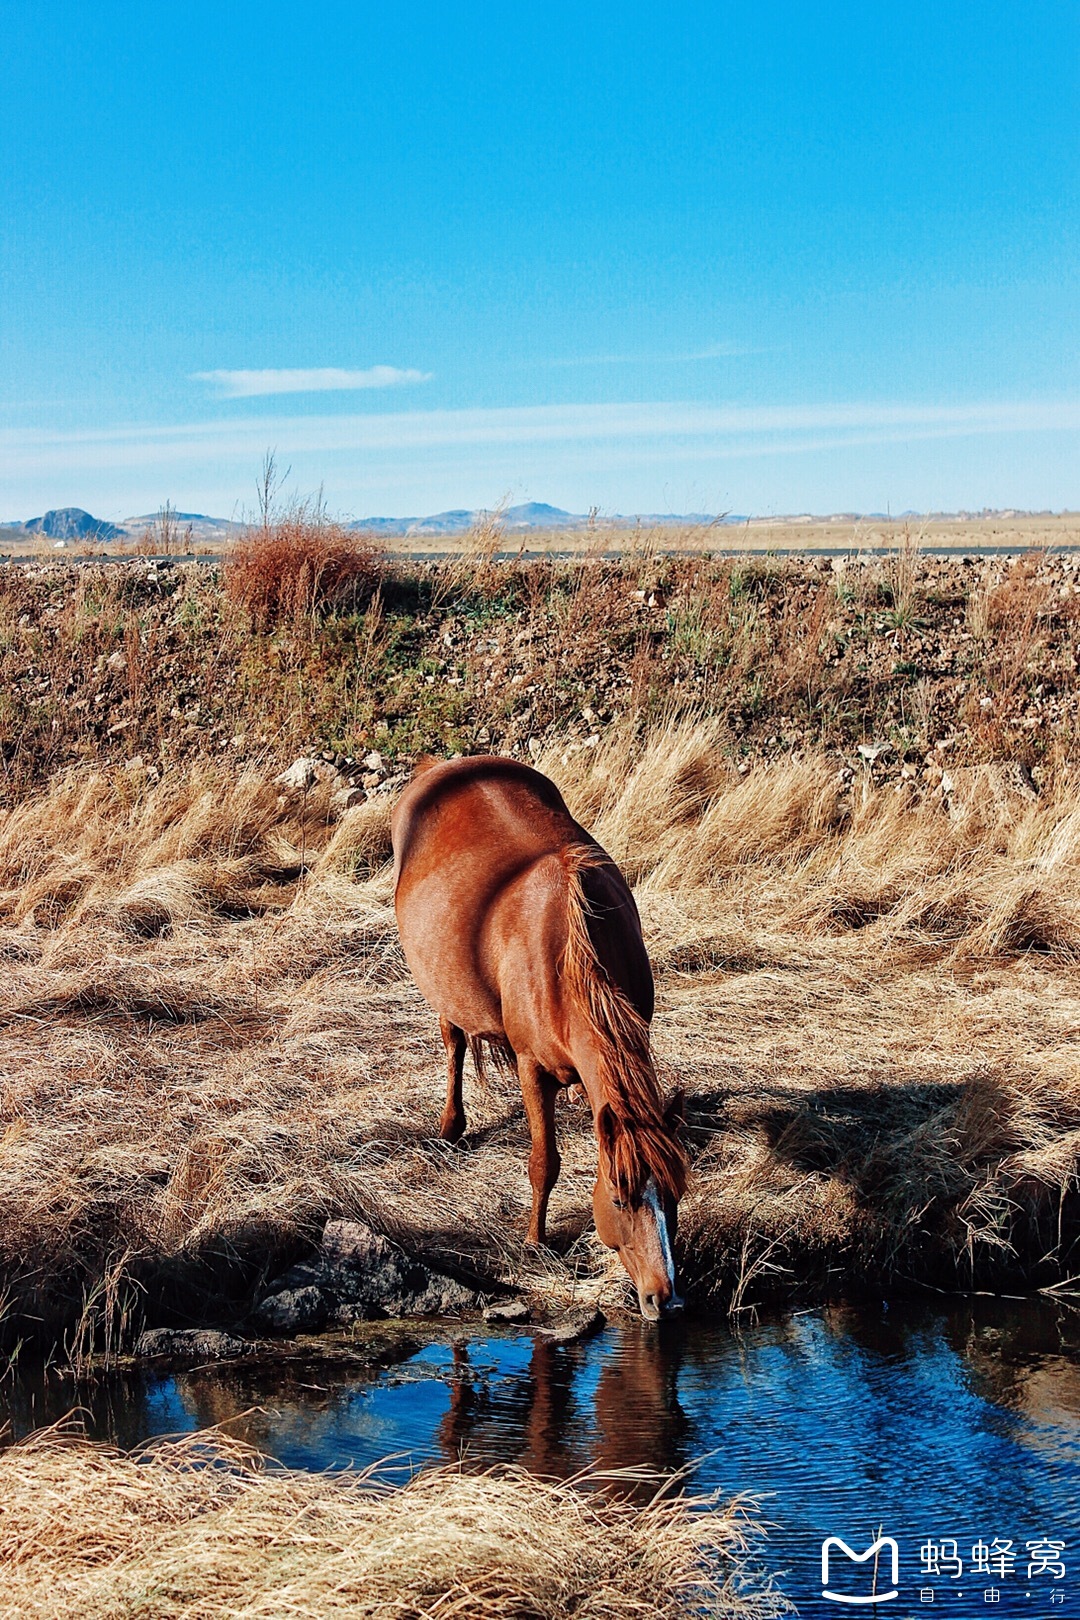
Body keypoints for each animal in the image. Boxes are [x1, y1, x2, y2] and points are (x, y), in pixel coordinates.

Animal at [393, 754, 689, 1315]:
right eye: (618, 1200)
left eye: (676, 1194)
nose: (663, 1299)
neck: (569, 950)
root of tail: (441, 766)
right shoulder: (531, 1066)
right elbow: (543, 1162)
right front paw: (535, 1241)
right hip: (442, 993)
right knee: (454, 1043)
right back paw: (450, 1126)